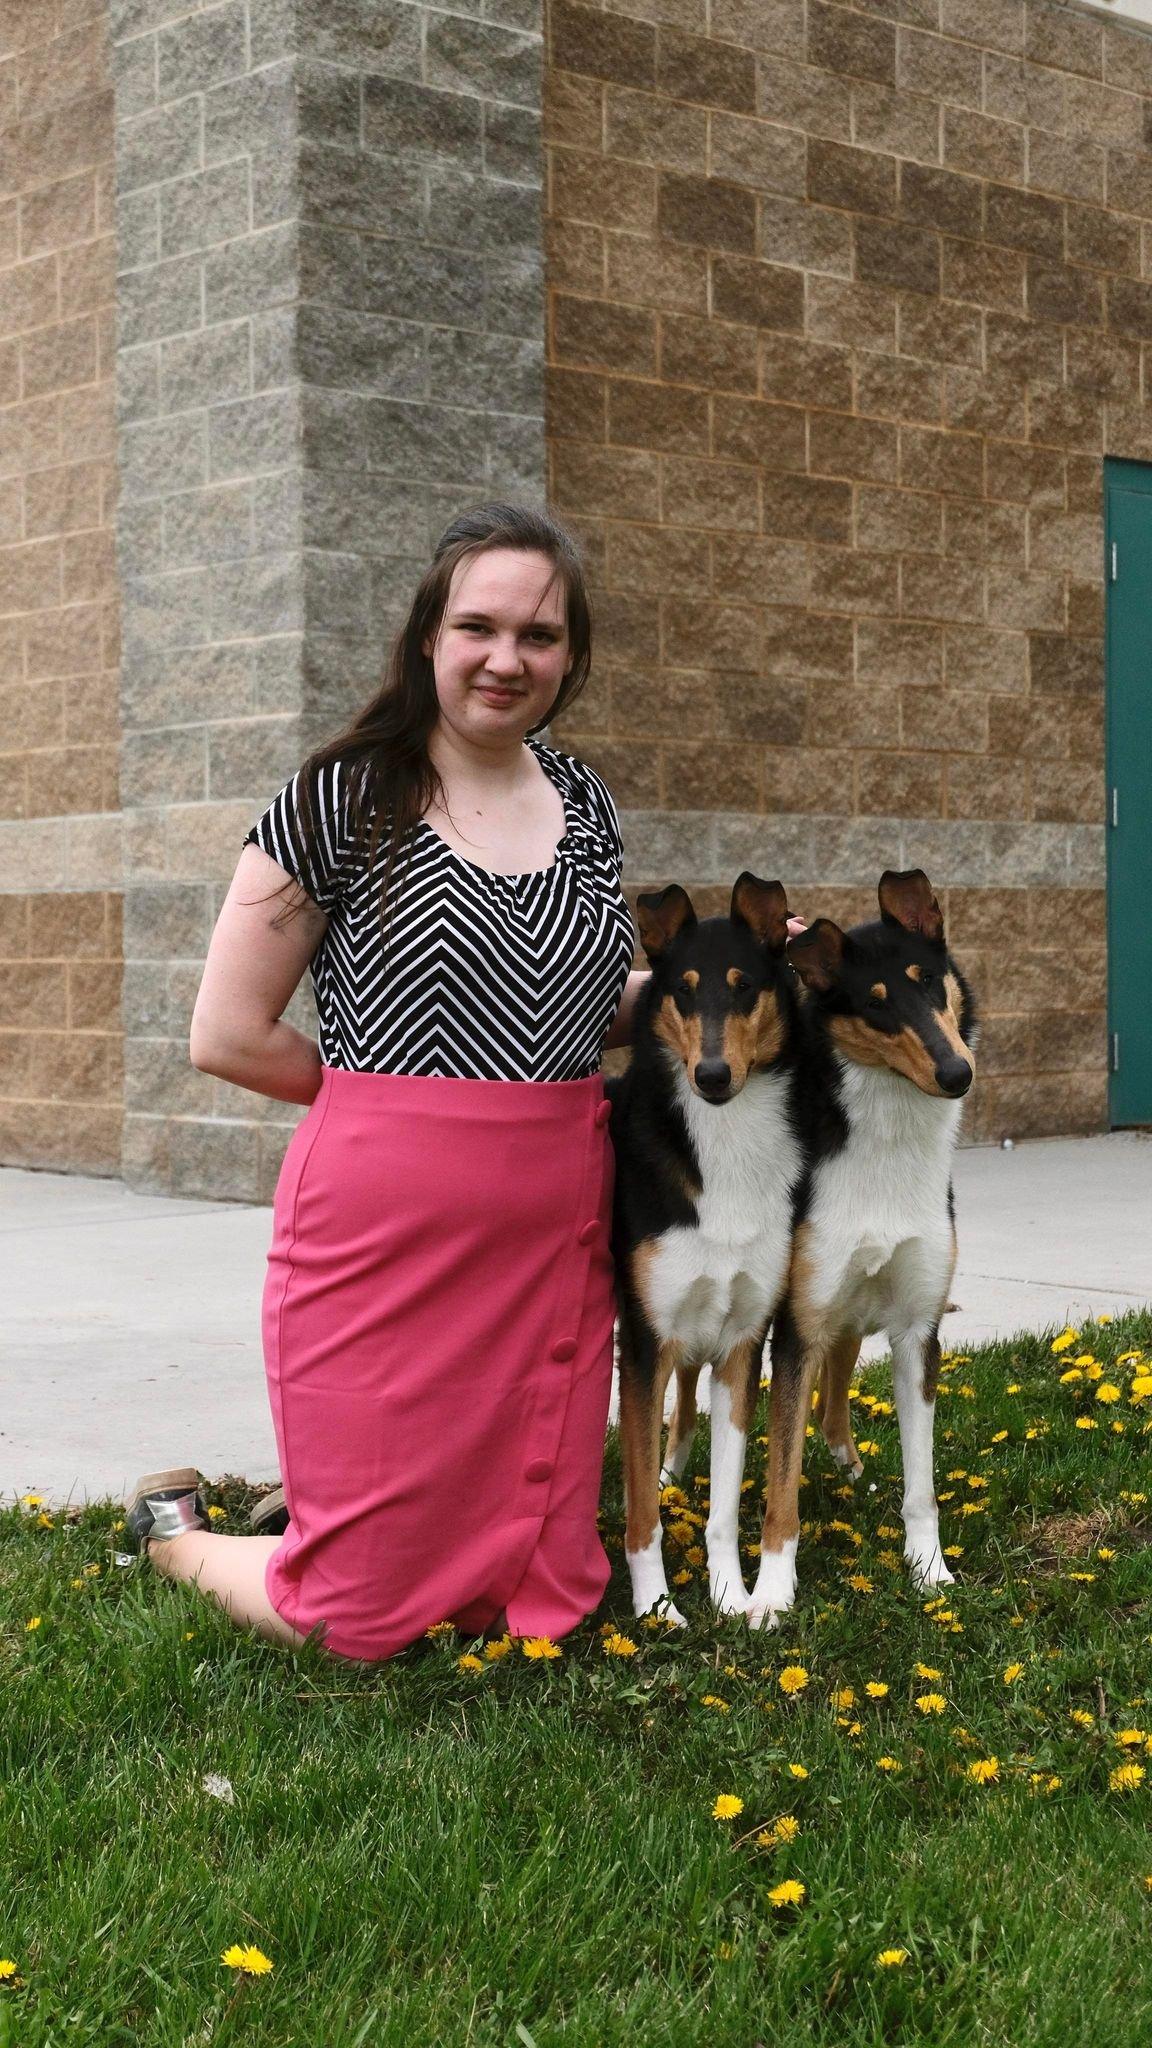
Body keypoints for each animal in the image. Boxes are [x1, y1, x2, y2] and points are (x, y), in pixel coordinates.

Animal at [609, 873, 801, 1625]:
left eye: (744, 986)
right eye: (685, 990)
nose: (713, 1076)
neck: (723, 1145)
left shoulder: (743, 1342)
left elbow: (722, 1505)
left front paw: (733, 1595)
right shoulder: (642, 1341)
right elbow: (641, 1509)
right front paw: (657, 1609)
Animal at [748, 868, 976, 1630]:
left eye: (928, 981)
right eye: (875, 1005)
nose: (957, 1073)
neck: (889, 1144)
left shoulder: (917, 1331)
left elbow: (922, 1485)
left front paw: (929, 1571)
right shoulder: (795, 1328)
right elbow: (780, 1485)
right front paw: (770, 1595)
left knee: (836, 1392)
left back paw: (846, 1461)